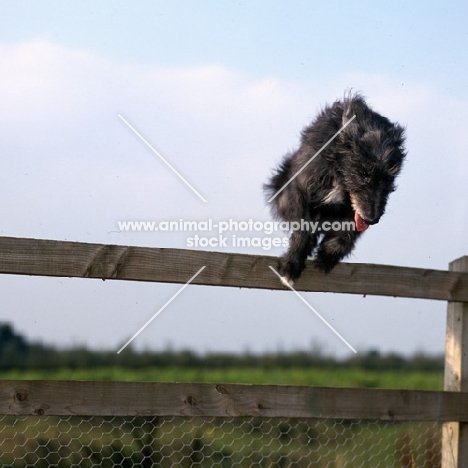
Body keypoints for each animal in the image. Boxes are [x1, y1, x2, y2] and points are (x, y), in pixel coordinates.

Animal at [266, 92, 406, 286]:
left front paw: (327, 255)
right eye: (363, 173)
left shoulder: (353, 209)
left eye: (389, 177)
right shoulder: (299, 186)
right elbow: (302, 225)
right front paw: (291, 266)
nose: (372, 220)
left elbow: (349, 231)